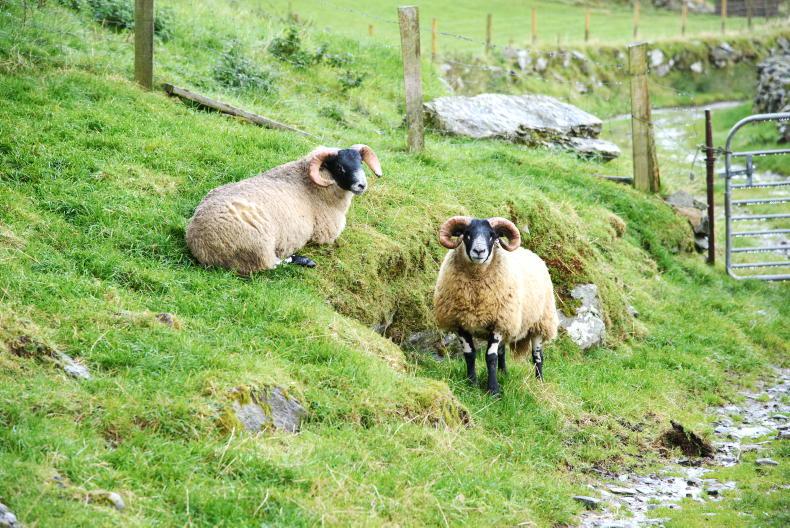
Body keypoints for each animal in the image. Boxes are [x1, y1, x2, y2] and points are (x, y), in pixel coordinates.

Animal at [186, 145, 382, 276]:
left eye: (360, 163)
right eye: (340, 167)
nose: (361, 185)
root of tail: (201, 244)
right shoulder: (325, 234)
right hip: (259, 244)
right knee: (271, 265)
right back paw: (304, 260)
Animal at [432, 216, 558, 394]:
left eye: (492, 235)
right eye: (467, 234)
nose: (479, 251)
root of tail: (531, 253)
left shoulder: (498, 323)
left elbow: (490, 357)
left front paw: (493, 390)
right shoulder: (461, 322)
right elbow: (470, 354)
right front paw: (471, 383)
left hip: (540, 322)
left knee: (537, 356)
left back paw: (539, 382)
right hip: (509, 323)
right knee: (502, 351)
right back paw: (503, 373)